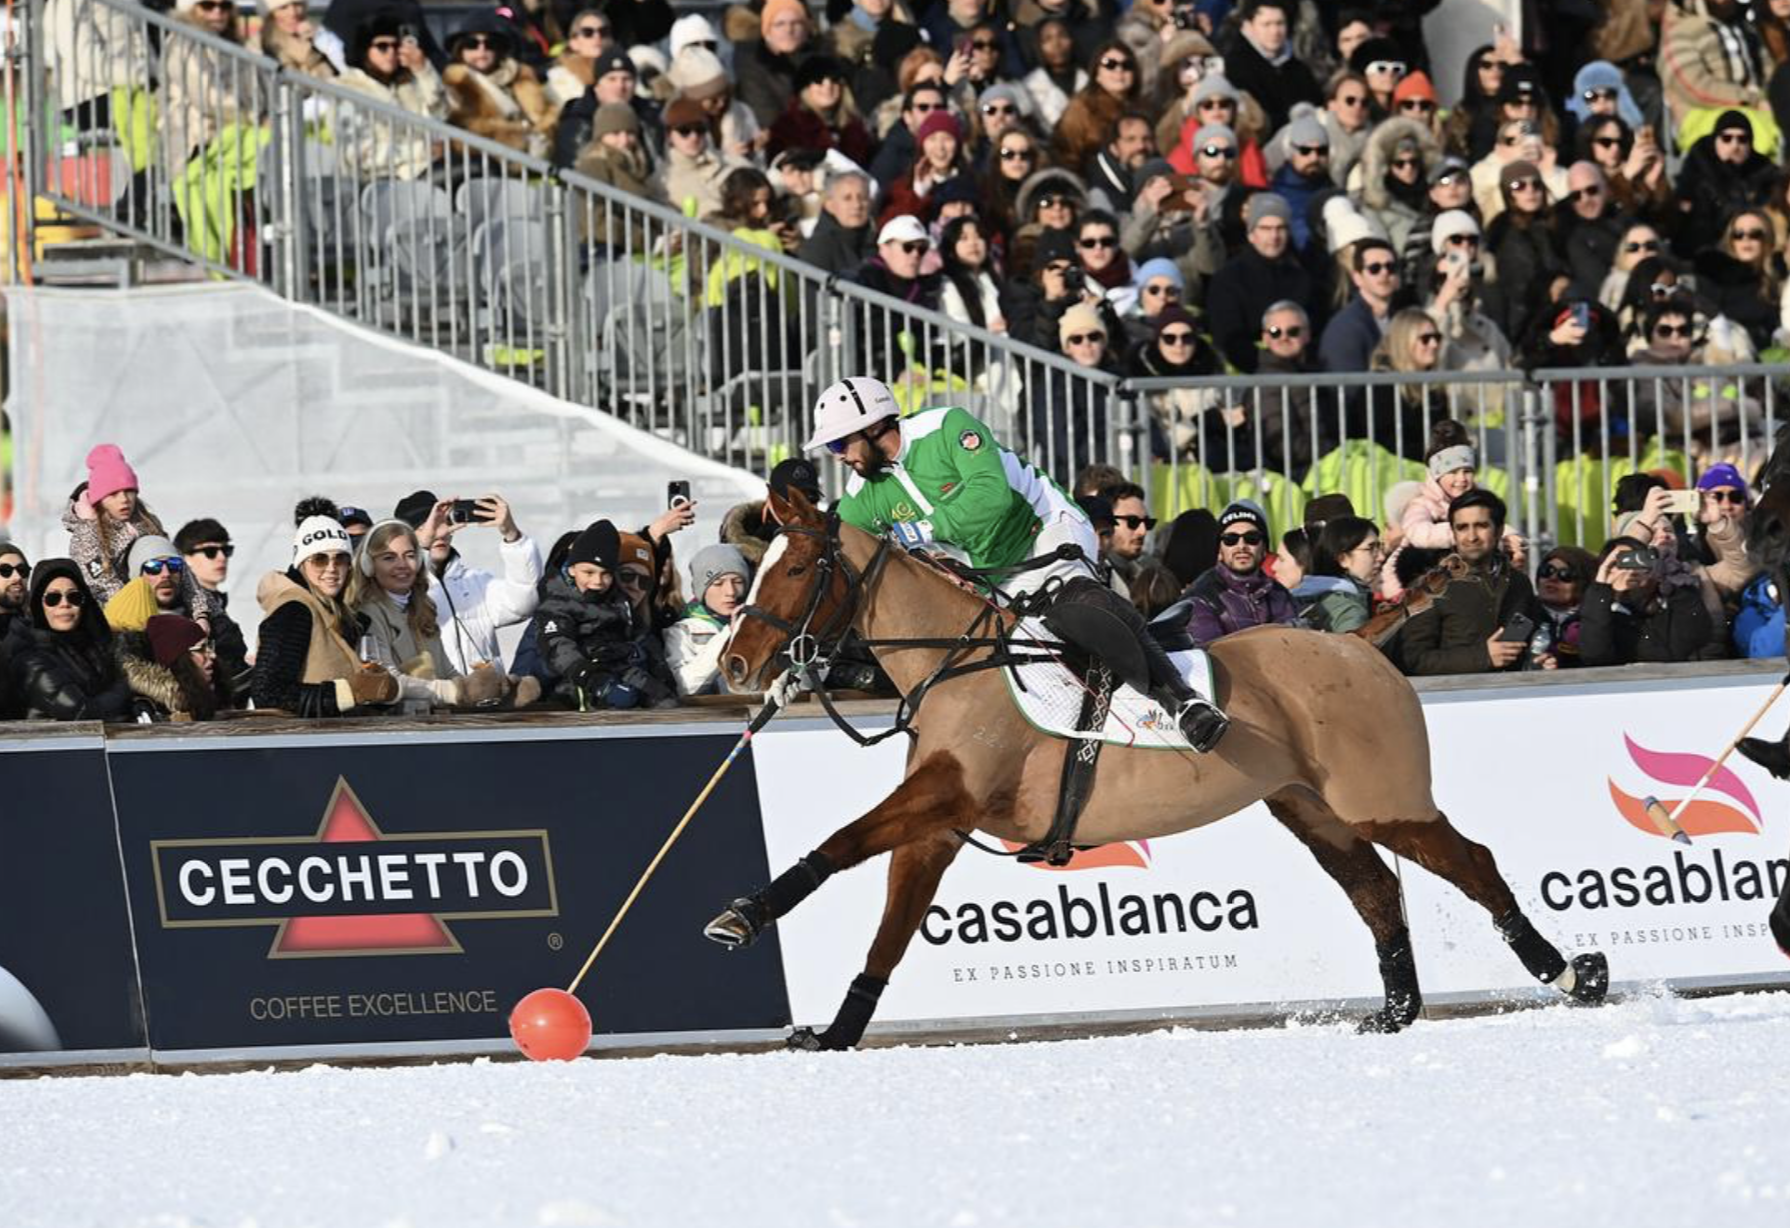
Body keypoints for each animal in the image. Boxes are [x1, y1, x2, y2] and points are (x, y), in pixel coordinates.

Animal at [708, 494, 1611, 1052]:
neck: (955, 663)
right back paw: (1395, 1012)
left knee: (1472, 863)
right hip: (1310, 807)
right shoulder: (940, 822)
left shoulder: (944, 794)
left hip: (1381, 800)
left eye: (796, 569)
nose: (736, 665)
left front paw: (742, 916)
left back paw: (1572, 972)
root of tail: (1355, 642)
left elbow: (840, 845)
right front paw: (835, 1032)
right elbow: (890, 930)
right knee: (1377, 891)